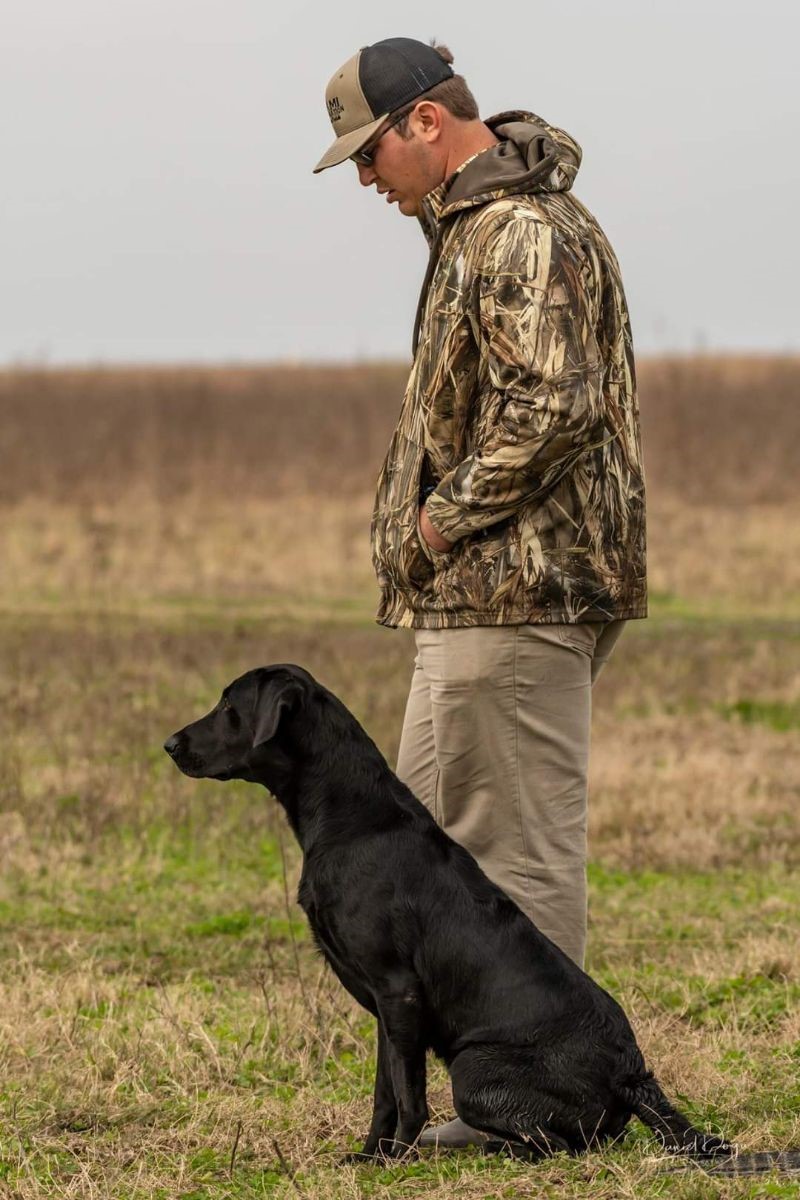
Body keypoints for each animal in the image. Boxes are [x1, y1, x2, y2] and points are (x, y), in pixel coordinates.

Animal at [165, 667, 734, 1161]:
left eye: (228, 708)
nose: (170, 745)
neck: (351, 815)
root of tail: (631, 1071)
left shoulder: (398, 991)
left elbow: (409, 1097)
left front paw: (395, 1160)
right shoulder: (387, 1007)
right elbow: (385, 1092)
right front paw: (369, 1155)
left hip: (472, 1067)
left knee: (562, 1144)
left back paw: (501, 1150)